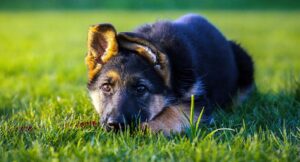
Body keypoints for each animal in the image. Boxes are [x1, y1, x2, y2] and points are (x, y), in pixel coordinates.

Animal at [85, 13, 254, 135]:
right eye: (106, 87)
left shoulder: (198, 100)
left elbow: (174, 112)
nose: (115, 125)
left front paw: (149, 127)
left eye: (140, 89)